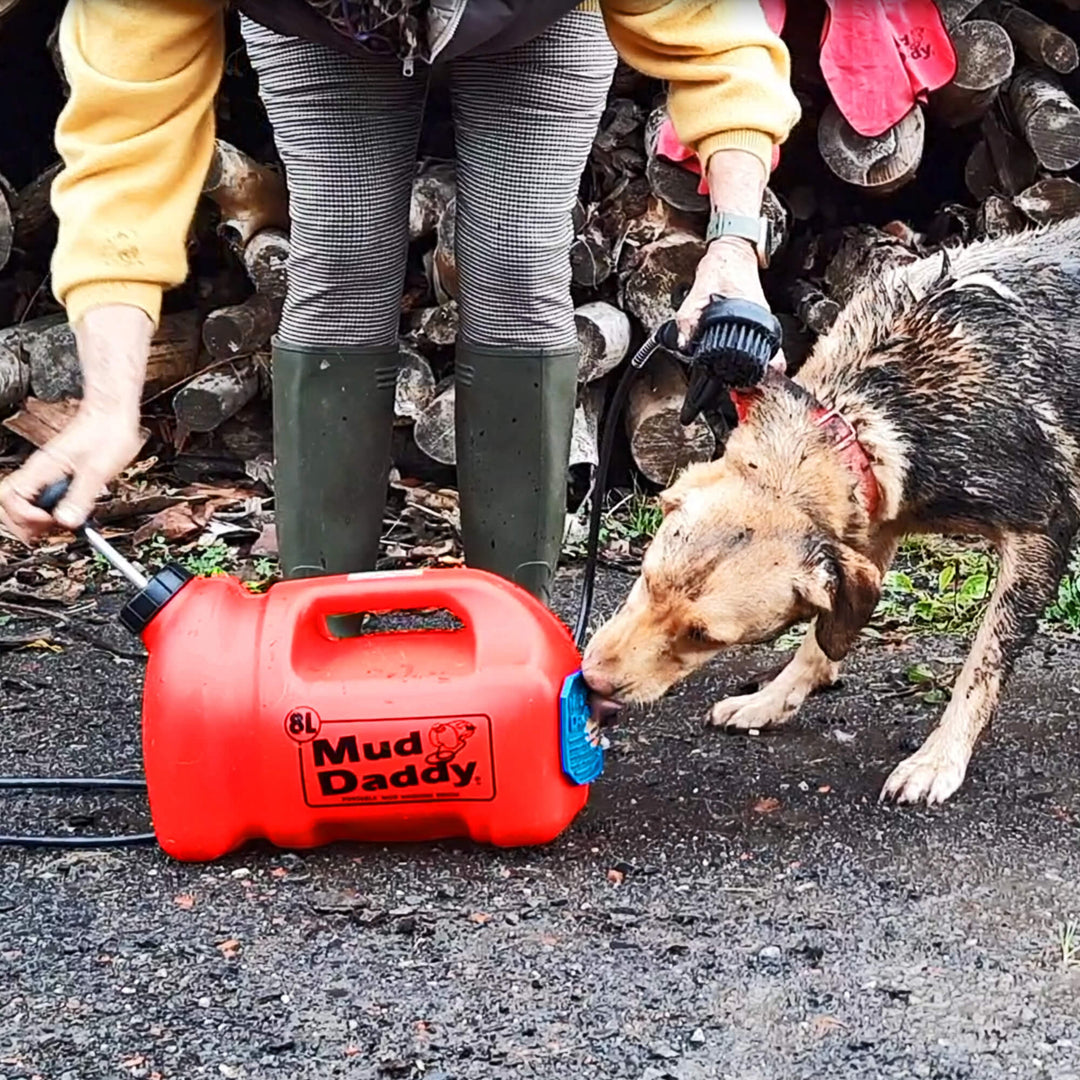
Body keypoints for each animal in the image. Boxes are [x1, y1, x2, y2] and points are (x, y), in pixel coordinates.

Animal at [587, 217, 1080, 803]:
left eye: (705, 637)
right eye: (645, 578)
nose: (590, 681)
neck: (867, 414)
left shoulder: (1040, 535)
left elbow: (981, 668)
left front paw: (939, 759)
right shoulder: (871, 528)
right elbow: (819, 642)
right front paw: (771, 700)